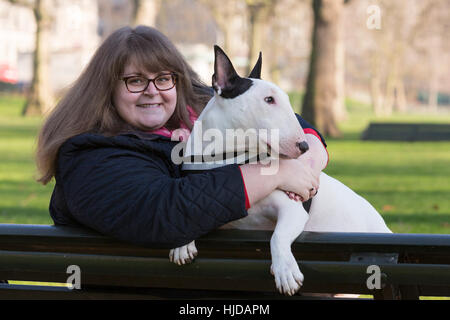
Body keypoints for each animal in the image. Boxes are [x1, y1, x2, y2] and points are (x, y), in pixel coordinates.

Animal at [169, 46, 390, 296]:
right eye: (269, 99)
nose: (303, 146)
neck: (226, 157)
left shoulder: (292, 208)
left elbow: (277, 236)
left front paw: (285, 270)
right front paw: (181, 244)